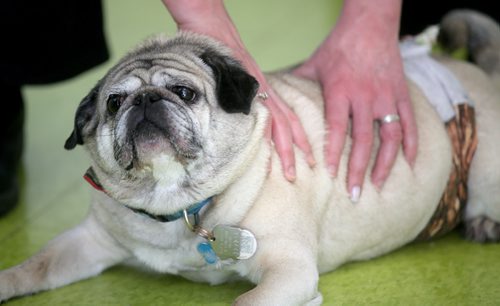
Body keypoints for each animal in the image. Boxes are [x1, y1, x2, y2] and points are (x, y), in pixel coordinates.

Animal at [0, 8, 500, 304]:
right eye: (114, 103)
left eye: (185, 93)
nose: (145, 101)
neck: (179, 207)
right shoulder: (87, 242)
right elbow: (36, 266)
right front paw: (8, 281)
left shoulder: (288, 270)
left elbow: (245, 301)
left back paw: (482, 223)